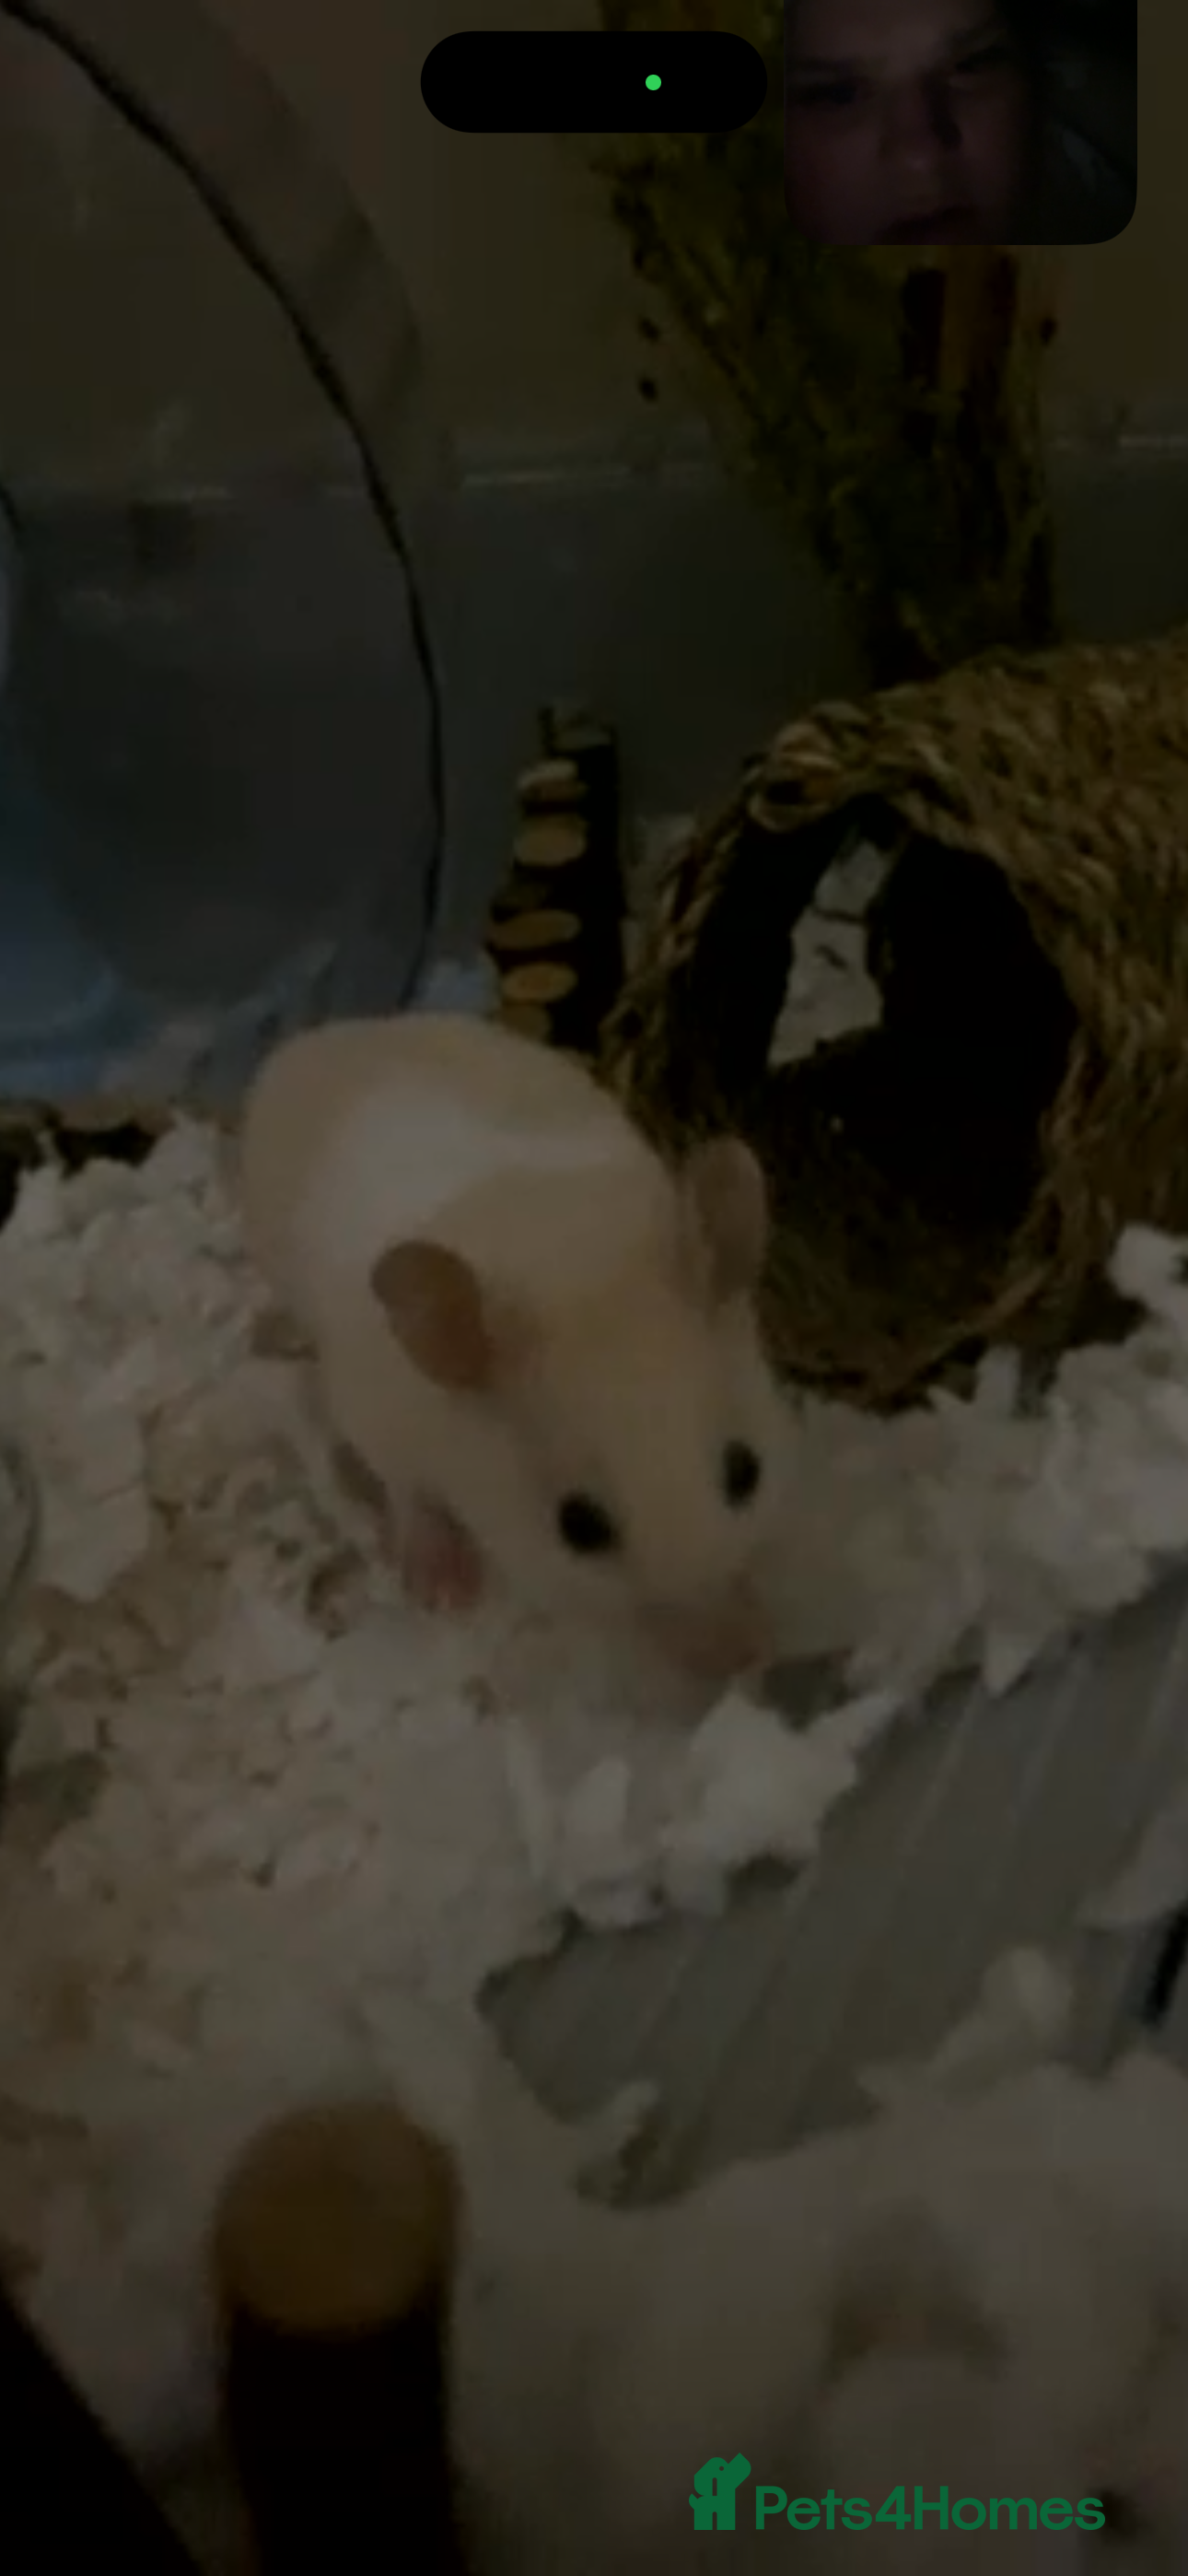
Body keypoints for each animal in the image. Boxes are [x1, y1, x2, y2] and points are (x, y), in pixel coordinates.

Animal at [239, 1012, 787, 1681]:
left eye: (746, 1471)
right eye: (578, 1527)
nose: (738, 1659)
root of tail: (318, 1035)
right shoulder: (374, 1419)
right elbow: (412, 1498)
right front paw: (445, 1595)